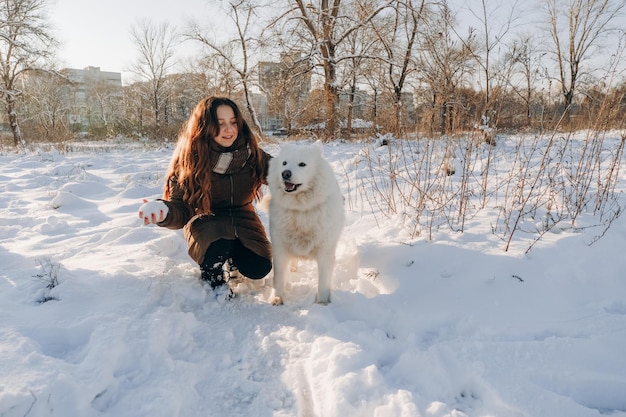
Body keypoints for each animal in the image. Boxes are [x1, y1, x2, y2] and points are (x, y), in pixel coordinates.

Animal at [266, 141, 344, 304]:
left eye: (302, 164)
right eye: (284, 163)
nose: (285, 173)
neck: (301, 210)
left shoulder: (325, 252)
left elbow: (323, 283)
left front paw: (322, 303)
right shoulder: (279, 249)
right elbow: (279, 278)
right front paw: (278, 298)